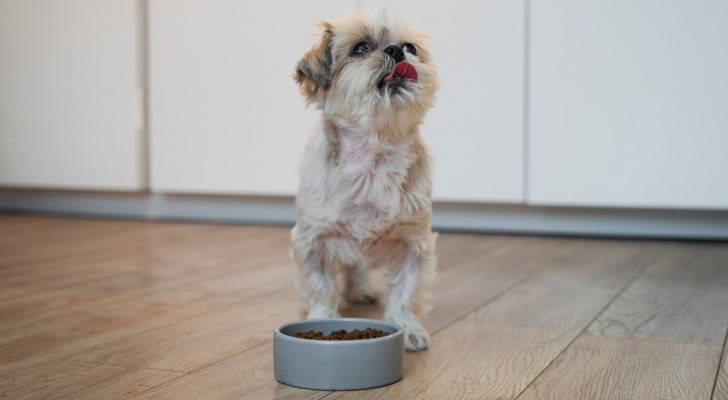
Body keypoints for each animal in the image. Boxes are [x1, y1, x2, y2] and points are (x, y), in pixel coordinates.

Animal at [290, 10, 438, 352]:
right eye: (360, 49)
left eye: (410, 47)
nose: (396, 51)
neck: (373, 161)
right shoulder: (312, 240)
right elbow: (320, 287)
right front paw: (323, 318)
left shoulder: (414, 243)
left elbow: (405, 292)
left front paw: (407, 328)